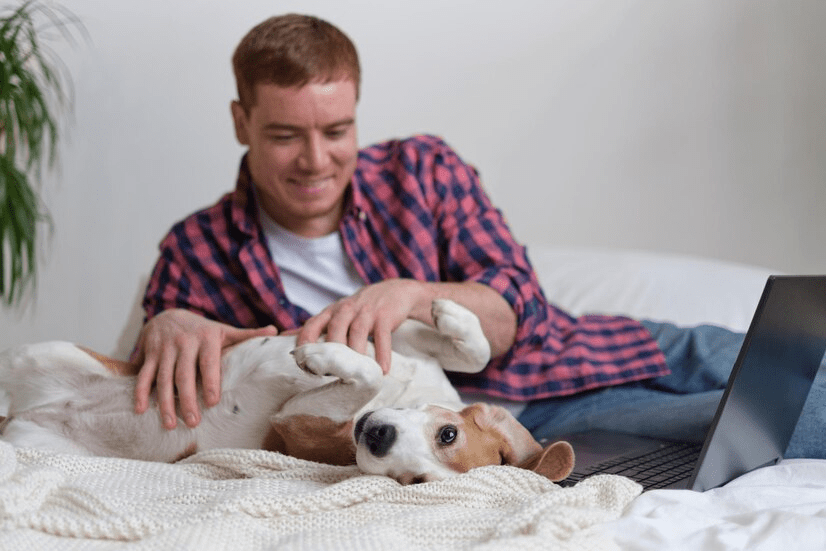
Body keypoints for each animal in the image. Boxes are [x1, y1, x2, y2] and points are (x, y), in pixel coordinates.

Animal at [0, 300, 568, 486]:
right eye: (447, 432)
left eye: (411, 483)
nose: (377, 437)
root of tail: (28, 413)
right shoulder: (400, 339)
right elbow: (473, 352)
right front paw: (450, 313)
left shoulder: (293, 416)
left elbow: (368, 374)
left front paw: (321, 358)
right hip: (43, 353)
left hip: (34, 437)